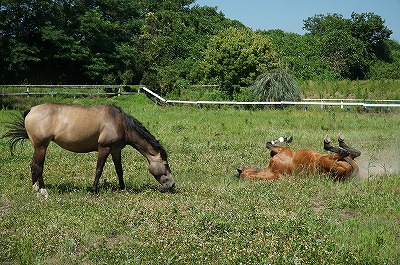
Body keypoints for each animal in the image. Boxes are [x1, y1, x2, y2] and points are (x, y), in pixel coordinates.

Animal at [2, 102, 175, 196]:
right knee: (38, 167)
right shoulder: (104, 148)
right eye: (166, 165)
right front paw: (94, 190)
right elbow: (99, 170)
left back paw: (36, 189)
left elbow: (120, 171)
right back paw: (43, 191)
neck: (120, 123)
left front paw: (123, 188)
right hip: (41, 146)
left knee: (33, 166)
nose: (172, 185)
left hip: (39, 147)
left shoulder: (116, 151)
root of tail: (31, 110)